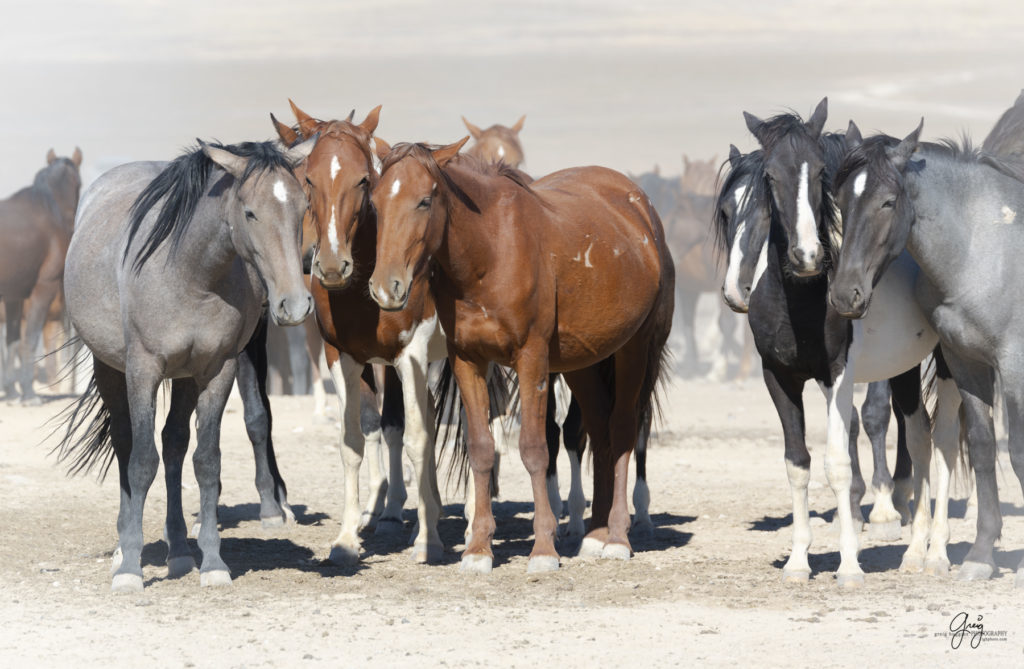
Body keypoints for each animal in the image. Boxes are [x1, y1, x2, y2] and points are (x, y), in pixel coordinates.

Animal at [0, 148, 80, 403]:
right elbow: (30, 338)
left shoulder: (14, 295)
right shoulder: (43, 288)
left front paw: (13, 392)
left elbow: (14, 339)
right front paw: (28, 393)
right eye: (80, 184)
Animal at [59, 132, 313, 590]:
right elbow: (141, 463)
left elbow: (205, 462)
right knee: (127, 444)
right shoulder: (142, 370)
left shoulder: (216, 370)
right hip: (111, 370)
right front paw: (129, 568)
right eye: (249, 212)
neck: (191, 274)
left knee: (174, 445)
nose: (295, 303)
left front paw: (212, 563)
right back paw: (124, 546)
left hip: (184, 379)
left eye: (304, 207)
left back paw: (178, 550)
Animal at [280, 100, 448, 565]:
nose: (328, 265)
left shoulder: (410, 354)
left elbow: (411, 434)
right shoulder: (344, 357)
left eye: (363, 180)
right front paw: (346, 538)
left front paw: (426, 537)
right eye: (309, 179)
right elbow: (354, 438)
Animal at [366, 138, 671, 569]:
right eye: (375, 203)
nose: (385, 288)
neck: (489, 251)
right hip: (585, 362)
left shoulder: (532, 361)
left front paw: (543, 548)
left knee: (624, 429)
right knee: (600, 430)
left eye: (425, 200)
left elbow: (534, 449)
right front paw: (478, 549)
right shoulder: (468, 361)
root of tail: (641, 209)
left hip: (635, 351)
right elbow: (481, 449)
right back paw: (594, 535)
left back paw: (616, 538)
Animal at [827, 121, 1024, 586]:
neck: (983, 248)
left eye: (888, 201)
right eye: (840, 200)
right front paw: (981, 555)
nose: (845, 295)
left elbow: (1018, 451)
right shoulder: (966, 362)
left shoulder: (1015, 365)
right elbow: (984, 446)